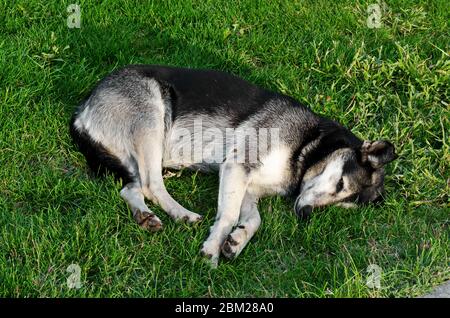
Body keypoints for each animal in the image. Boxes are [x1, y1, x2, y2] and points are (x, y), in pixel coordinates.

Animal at [70, 64, 398, 266]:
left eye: (341, 205)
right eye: (340, 183)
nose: (304, 215)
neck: (308, 145)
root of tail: (84, 106)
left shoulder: (249, 189)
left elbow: (253, 220)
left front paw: (236, 242)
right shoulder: (237, 167)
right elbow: (227, 215)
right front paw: (213, 249)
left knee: (131, 188)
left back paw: (146, 217)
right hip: (151, 115)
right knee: (151, 184)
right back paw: (182, 213)